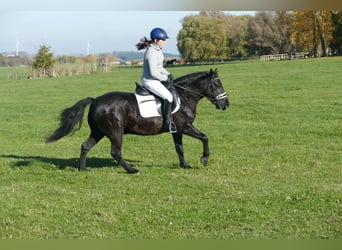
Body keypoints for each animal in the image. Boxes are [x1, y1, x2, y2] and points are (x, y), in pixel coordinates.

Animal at [44, 69, 227, 174]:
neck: (184, 96)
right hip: (115, 132)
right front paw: (204, 159)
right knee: (115, 152)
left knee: (86, 146)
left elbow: (179, 148)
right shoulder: (185, 126)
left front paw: (185, 166)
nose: (226, 104)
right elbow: (204, 137)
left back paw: (82, 169)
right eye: (218, 84)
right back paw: (132, 170)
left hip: (99, 132)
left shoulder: (177, 130)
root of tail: (95, 100)